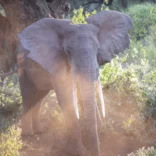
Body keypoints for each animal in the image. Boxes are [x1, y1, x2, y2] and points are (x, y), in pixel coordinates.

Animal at [17, 10, 133, 155]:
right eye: (68, 51)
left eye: (98, 50)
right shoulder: (57, 63)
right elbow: (67, 100)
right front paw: (80, 151)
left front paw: (101, 131)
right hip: (22, 66)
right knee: (28, 96)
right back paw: (28, 134)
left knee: (39, 96)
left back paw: (40, 130)